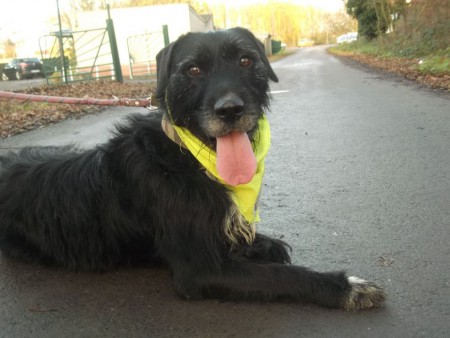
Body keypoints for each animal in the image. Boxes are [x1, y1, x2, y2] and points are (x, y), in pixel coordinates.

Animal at [0, 27, 386, 310]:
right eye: (193, 70)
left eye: (246, 60)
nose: (230, 110)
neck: (189, 157)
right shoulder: (199, 270)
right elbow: (281, 276)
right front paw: (346, 287)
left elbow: (267, 246)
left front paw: (260, 245)